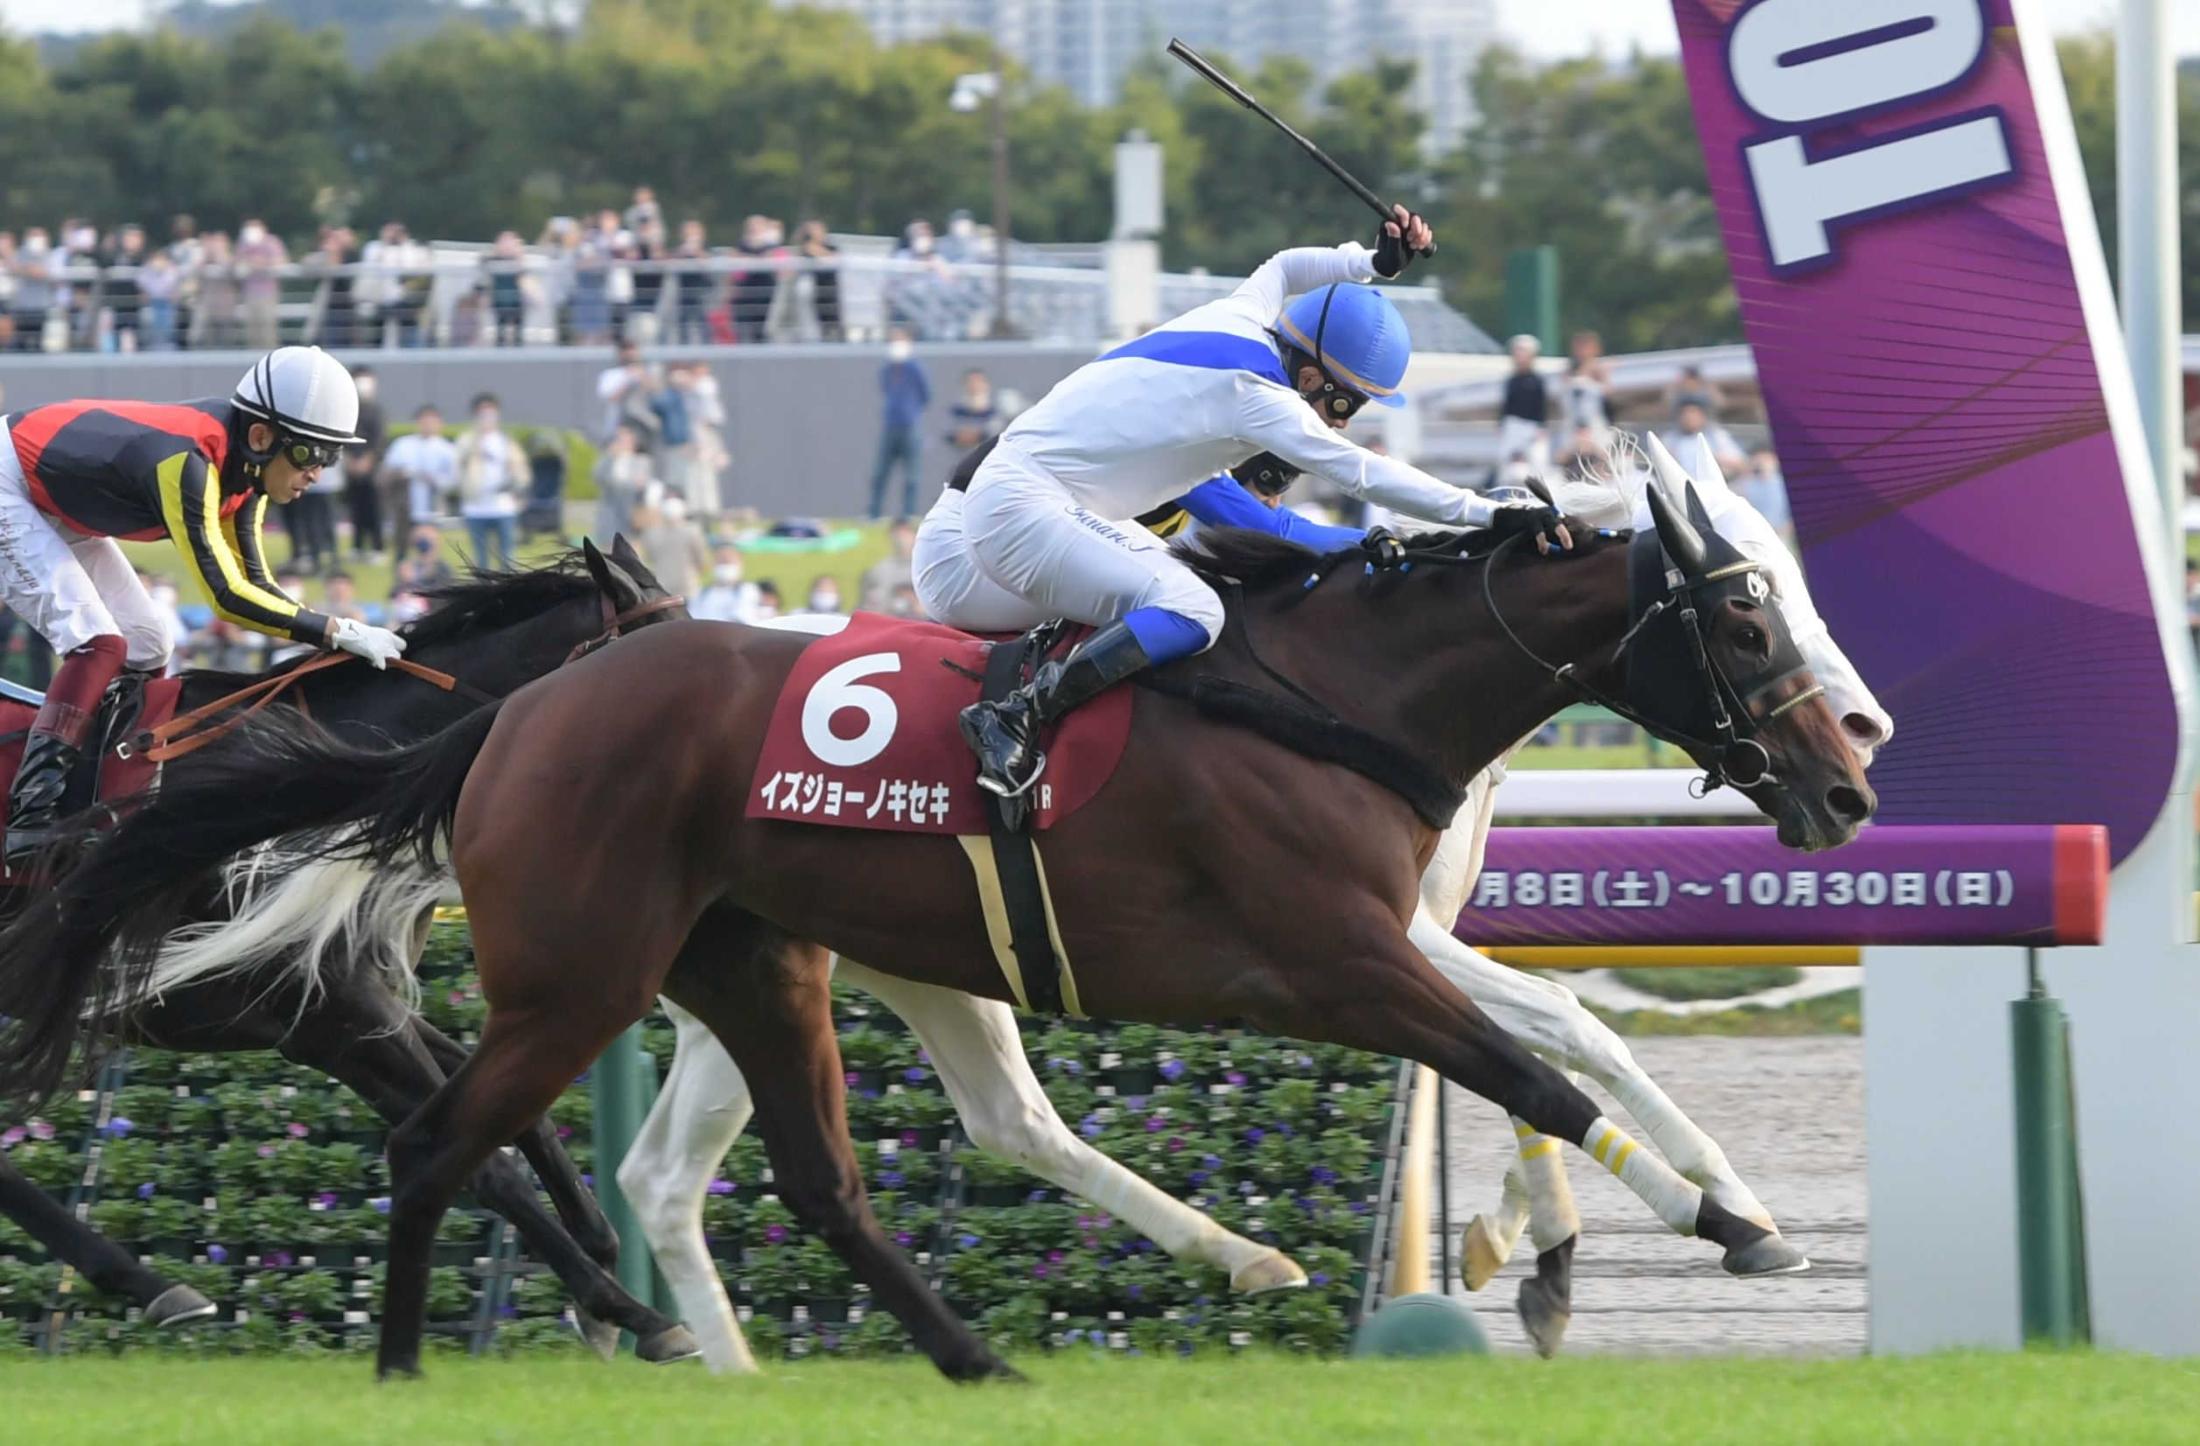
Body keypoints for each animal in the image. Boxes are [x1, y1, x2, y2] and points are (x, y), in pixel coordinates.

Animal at [0, 534, 695, 1355]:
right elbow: (474, 1156)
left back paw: (154, 1287)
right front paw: (632, 1310)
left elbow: (518, 1112)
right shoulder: (326, 1014)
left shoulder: (359, 998)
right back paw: (153, 1285)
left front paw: (603, 1269)